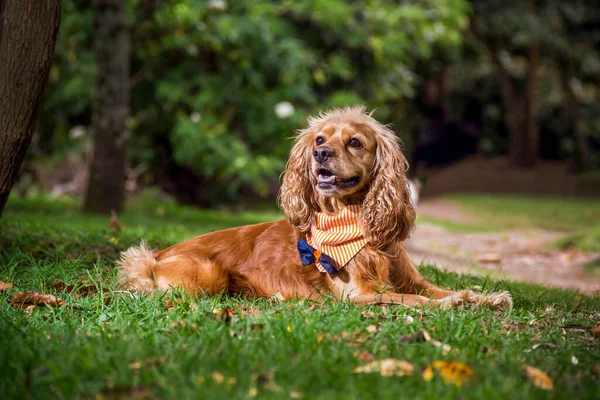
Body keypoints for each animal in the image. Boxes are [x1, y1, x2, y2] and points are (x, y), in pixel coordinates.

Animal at [118, 104, 510, 308]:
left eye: (355, 142)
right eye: (320, 138)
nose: (320, 153)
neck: (355, 221)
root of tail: (155, 255)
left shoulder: (412, 279)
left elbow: (433, 289)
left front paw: (485, 296)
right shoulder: (361, 294)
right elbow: (412, 300)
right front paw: (454, 303)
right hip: (207, 275)